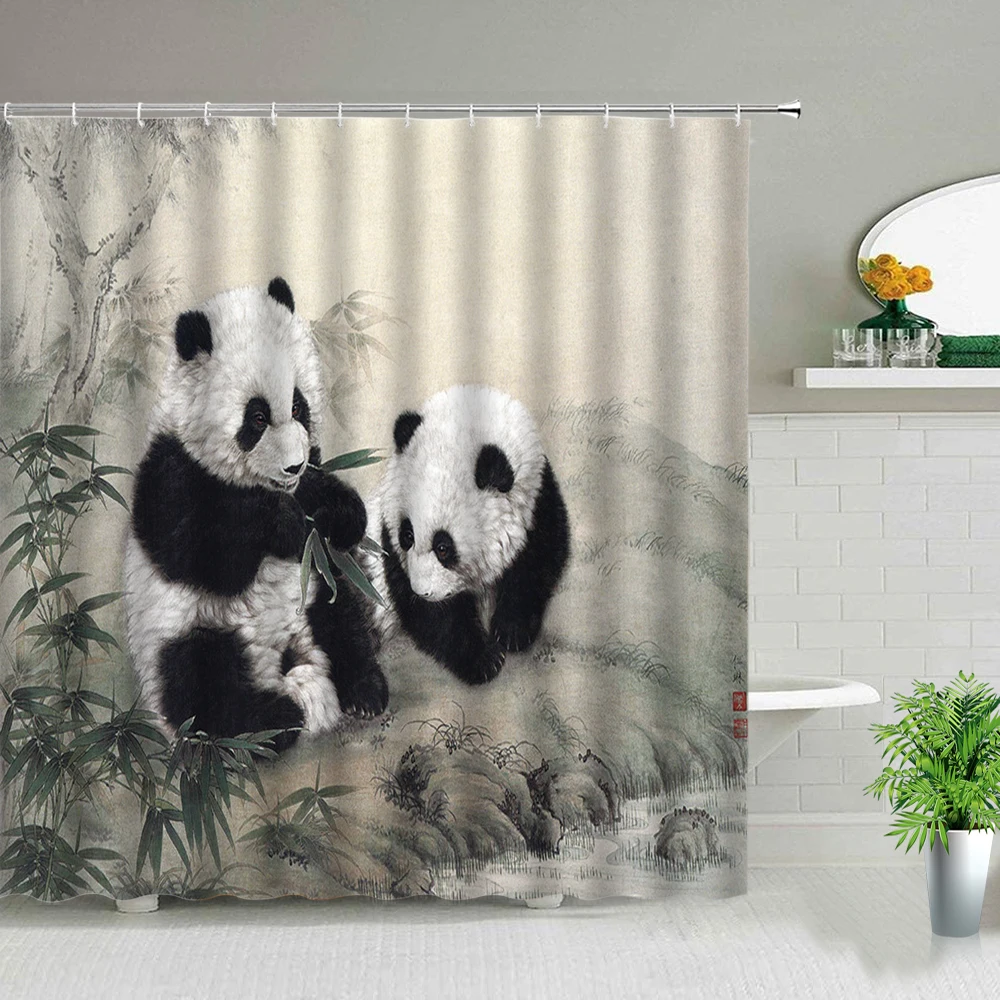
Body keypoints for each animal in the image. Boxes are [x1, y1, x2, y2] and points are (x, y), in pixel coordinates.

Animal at [123, 277, 388, 753]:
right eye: (257, 417)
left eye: (299, 406)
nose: (292, 467)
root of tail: (282, 662)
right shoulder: (171, 474)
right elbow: (206, 557)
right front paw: (283, 526)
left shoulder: (313, 472)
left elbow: (333, 507)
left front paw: (333, 516)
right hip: (187, 627)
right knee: (200, 679)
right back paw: (273, 720)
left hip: (314, 594)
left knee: (343, 617)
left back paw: (364, 692)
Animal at [364, 384, 570, 685]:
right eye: (407, 535)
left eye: (443, 547)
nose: (422, 591)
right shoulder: (387, 547)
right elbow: (433, 616)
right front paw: (484, 660)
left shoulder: (539, 502)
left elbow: (537, 563)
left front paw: (512, 631)